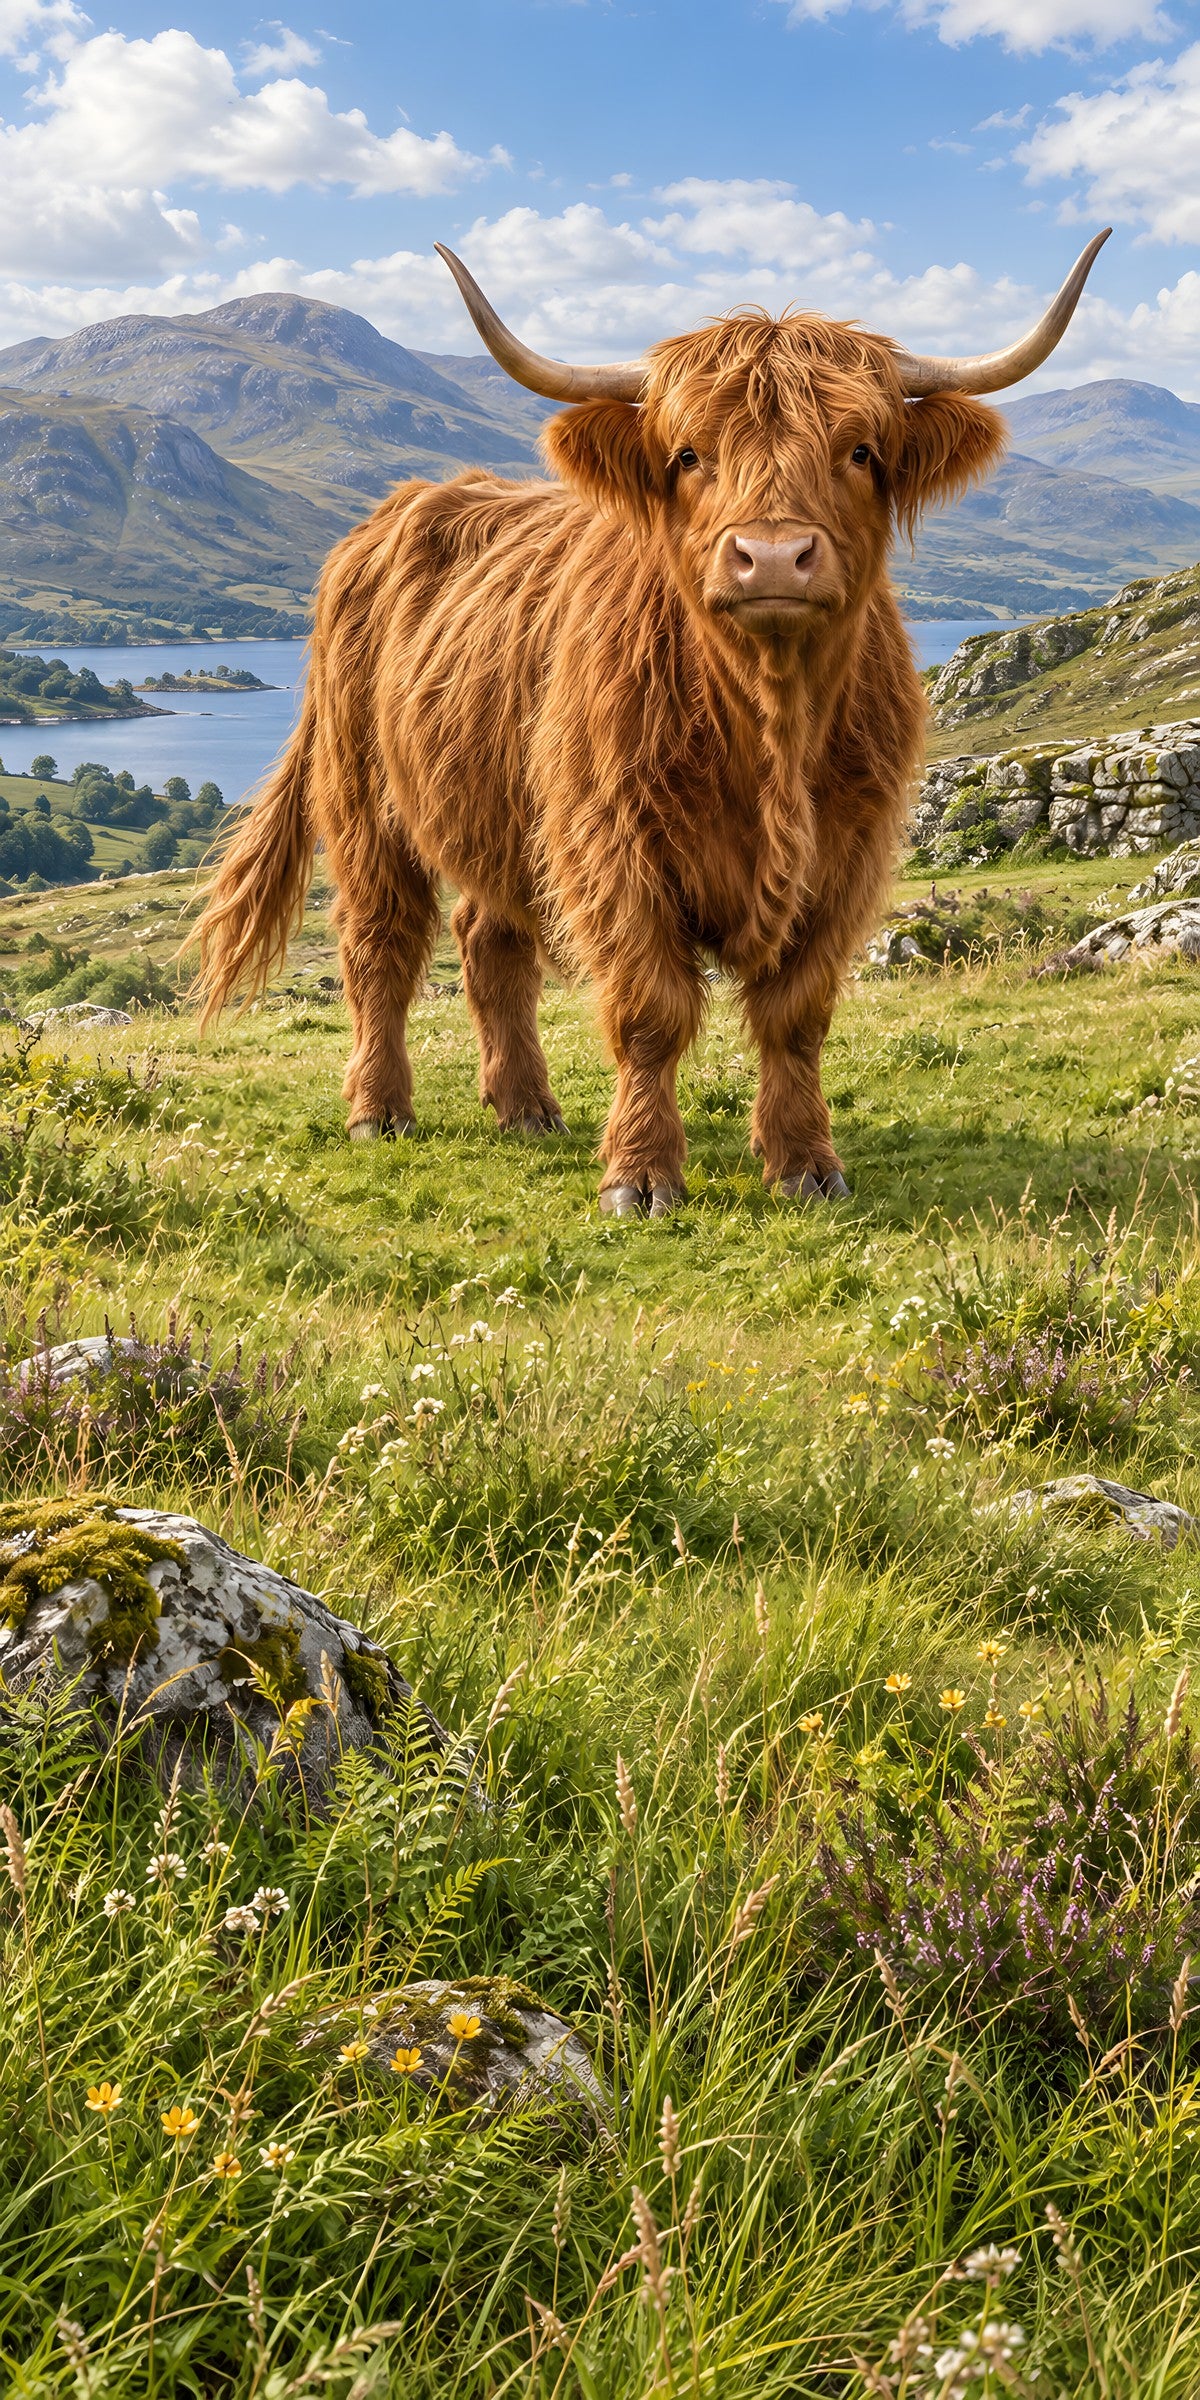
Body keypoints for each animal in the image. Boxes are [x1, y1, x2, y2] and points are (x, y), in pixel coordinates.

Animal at [194, 231, 1109, 1215]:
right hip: (365, 800)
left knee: (490, 943)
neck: (767, 730)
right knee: (381, 947)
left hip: (502, 811)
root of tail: (395, 510)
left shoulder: (847, 854)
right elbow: (650, 1013)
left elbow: (796, 1015)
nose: (772, 556)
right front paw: (640, 1177)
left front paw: (805, 1164)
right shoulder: (613, 844)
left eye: (862, 450)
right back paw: (379, 1111)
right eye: (689, 454)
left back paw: (526, 1109)